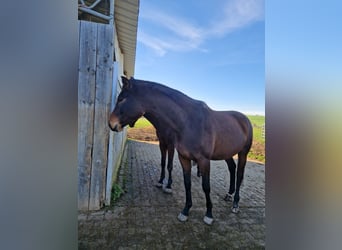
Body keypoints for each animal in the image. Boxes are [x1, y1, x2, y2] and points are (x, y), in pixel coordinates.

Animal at [108, 76, 252, 225]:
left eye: (122, 99)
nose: (111, 124)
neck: (188, 122)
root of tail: (245, 119)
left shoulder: (203, 160)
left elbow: (206, 186)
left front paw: (209, 214)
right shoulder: (183, 157)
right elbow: (186, 183)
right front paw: (186, 210)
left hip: (243, 153)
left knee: (239, 175)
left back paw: (235, 204)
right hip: (227, 153)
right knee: (232, 168)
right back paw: (229, 194)